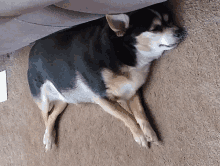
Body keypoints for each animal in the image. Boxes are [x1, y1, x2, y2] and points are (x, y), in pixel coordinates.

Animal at [27, 1, 186, 152]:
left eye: (170, 20)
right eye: (155, 29)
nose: (181, 31)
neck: (124, 52)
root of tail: (31, 53)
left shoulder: (131, 91)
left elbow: (140, 114)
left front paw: (150, 133)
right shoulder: (101, 98)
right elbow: (127, 117)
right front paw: (140, 136)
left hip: (64, 99)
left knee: (52, 115)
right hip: (43, 99)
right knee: (45, 116)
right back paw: (48, 138)